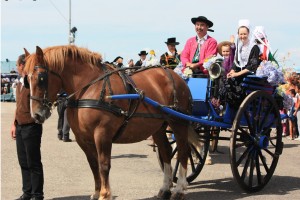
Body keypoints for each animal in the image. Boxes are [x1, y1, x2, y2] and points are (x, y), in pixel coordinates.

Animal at [24, 45, 202, 200]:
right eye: (26, 80)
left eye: (41, 78)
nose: (36, 115)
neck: (89, 87)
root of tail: (176, 76)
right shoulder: (83, 138)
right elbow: (93, 164)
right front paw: (97, 192)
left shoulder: (102, 134)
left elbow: (103, 164)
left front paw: (105, 194)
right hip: (158, 127)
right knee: (165, 151)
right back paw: (165, 188)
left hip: (179, 122)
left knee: (183, 151)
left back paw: (179, 189)